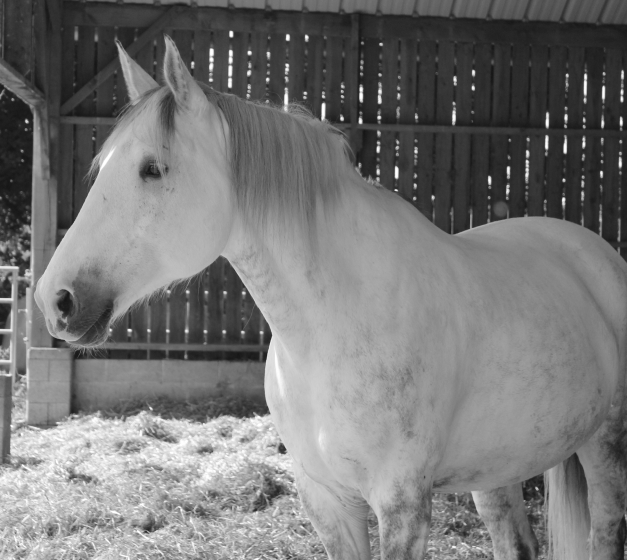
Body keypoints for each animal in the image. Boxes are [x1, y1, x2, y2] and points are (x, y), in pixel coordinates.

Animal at [35, 37, 627, 556]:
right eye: (101, 168)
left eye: (152, 168)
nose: (54, 300)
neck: (331, 329)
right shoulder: (326, 500)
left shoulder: (402, 505)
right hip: (497, 468)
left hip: (605, 449)